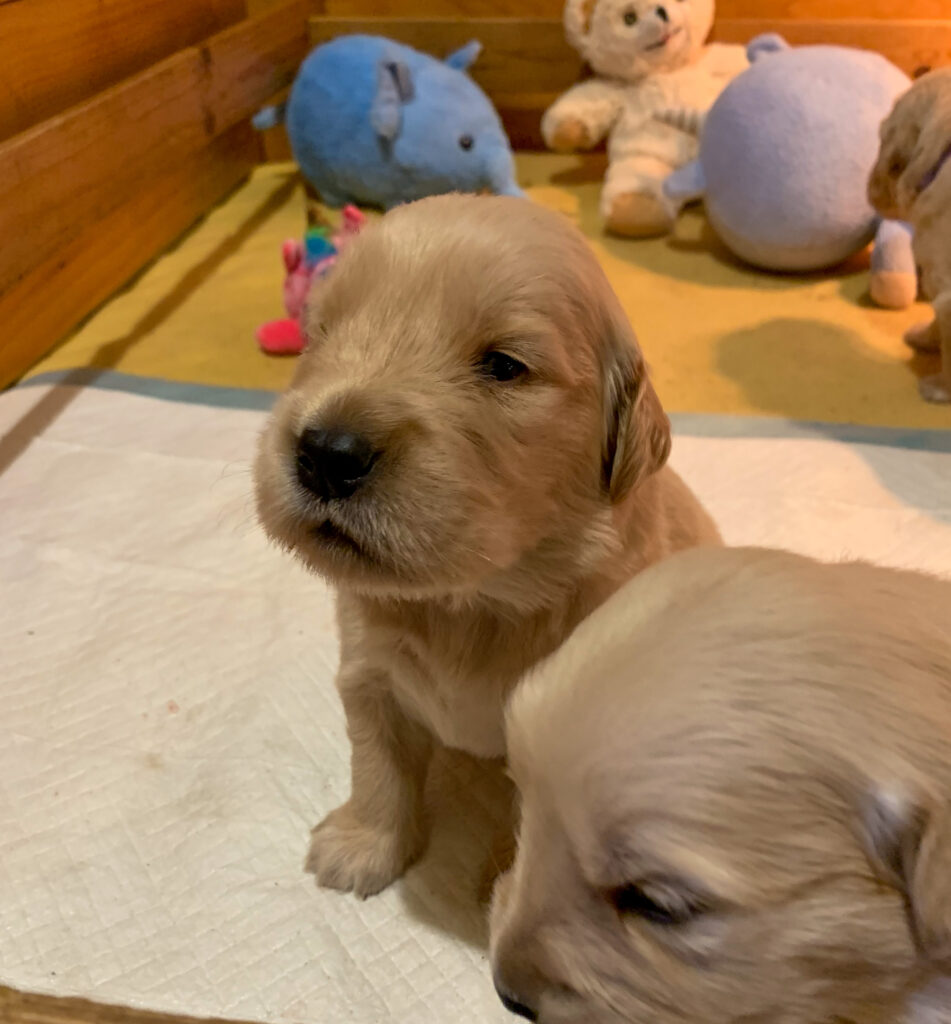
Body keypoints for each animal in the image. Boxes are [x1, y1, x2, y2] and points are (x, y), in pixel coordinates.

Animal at [254, 193, 721, 897]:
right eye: (324, 333)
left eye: (504, 366)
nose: (327, 454)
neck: (472, 603)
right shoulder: (367, 673)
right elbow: (377, 766)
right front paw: (363, 844)